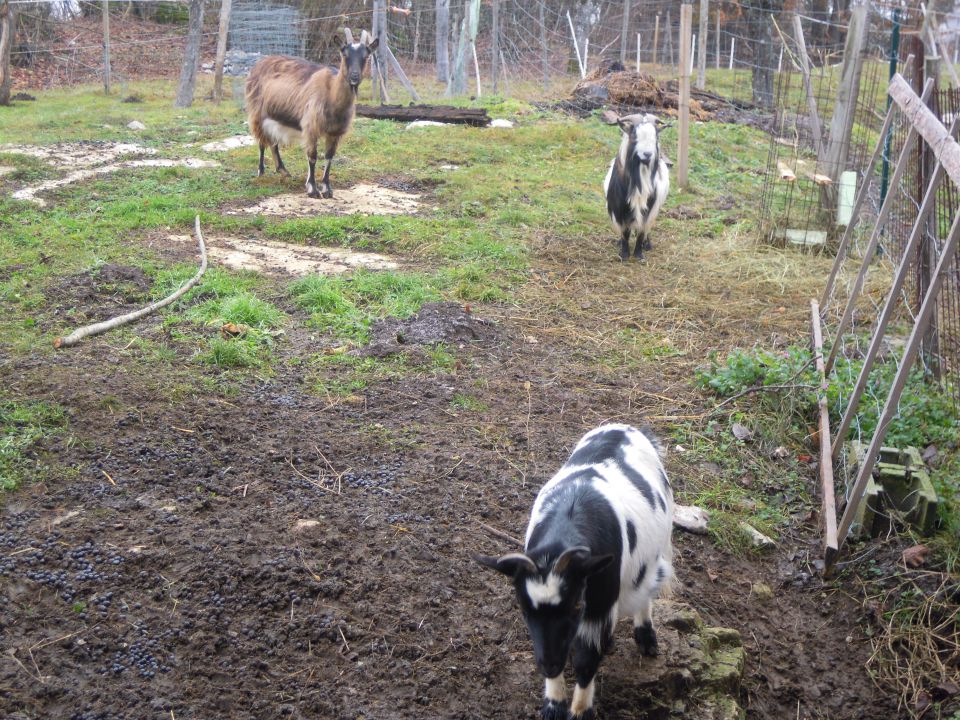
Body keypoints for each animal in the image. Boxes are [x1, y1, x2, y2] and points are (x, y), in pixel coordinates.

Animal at [244, 33, 378, 197]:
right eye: (344, 54)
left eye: (366, 56)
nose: (354, 76)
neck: (331, 93)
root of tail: (258, 64)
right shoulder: (311, 127)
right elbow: (312, 156)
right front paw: (312, 189)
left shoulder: (335, 132)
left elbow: (329, 157)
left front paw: (327, 189)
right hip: (257, 112)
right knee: (261, 141)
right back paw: (261, 171)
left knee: (273, 141)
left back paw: (283, 170)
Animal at [474, 424, 672, 716]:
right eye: (524, 610)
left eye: (576, 605)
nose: (549, 666)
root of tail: (626, 427)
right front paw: (554, 703)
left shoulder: (599, 606)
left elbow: (586, 661)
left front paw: (580, 711)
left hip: (659, 550)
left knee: (648, 588)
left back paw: (646, 637)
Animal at [604, 111, 672, 260]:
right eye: (634, 135)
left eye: (656, 136)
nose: (647, 154)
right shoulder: (619, 208)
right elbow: (625, 231)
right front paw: (624, 254)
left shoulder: (649, 208)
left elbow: (641, 231)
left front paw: (639, 254)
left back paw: (648, 244)